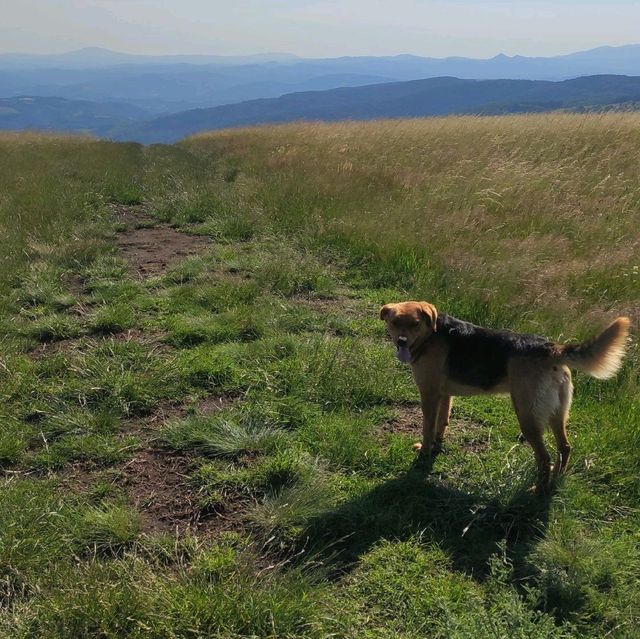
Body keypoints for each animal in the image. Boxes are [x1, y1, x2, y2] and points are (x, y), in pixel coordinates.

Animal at [380, 302, 632, 492]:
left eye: (414, 324)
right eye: (395, 323)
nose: (401, 342)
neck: (431, 335)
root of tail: (551, 348)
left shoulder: (430, 395)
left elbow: (427, 428)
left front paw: (424, 452)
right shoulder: (445, 395)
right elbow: (441, 425)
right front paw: (435, 447)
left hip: (527, 416)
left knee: (544, 458)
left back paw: (537, 492)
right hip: (557, 414)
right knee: (565, 447)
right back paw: (554, 482)